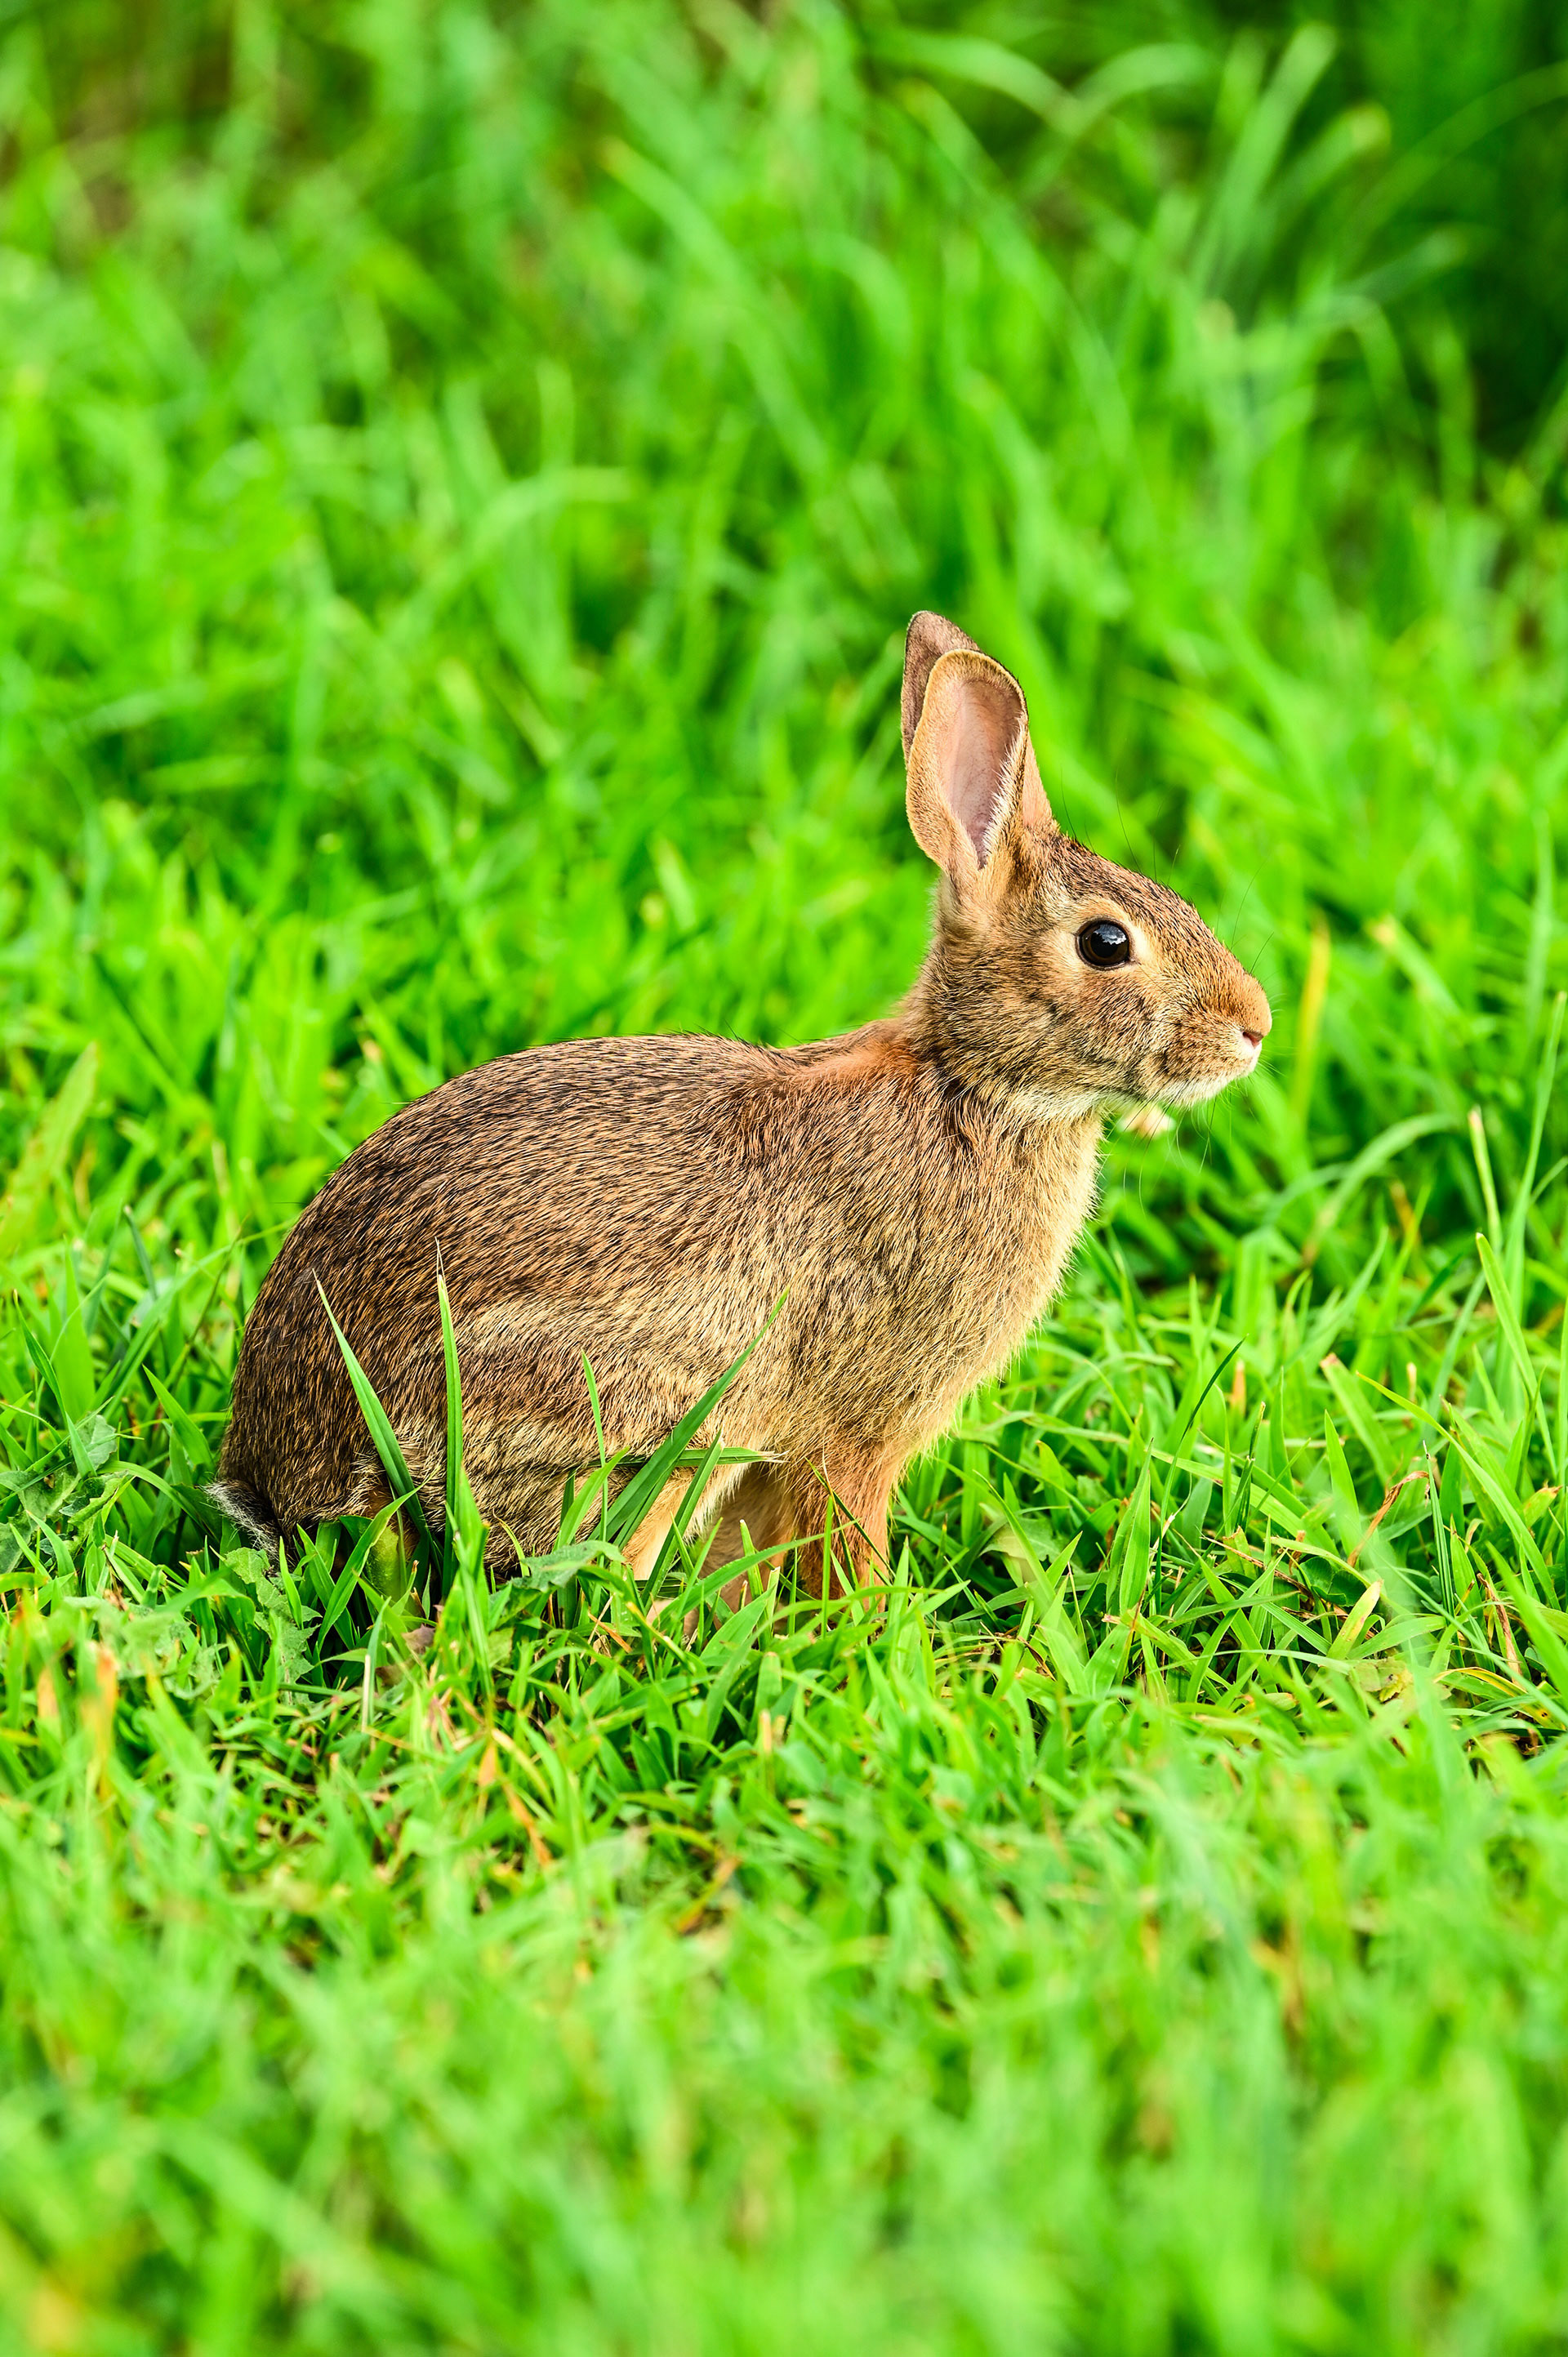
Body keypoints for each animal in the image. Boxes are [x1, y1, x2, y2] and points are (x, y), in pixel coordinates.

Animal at [214, 611, 1270, 1594]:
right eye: (1106, 943)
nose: (1254, 1027)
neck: (971, 1083)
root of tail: (274, 1481)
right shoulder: (857, 1425)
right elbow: (845, 1533)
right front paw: (872, 1630)